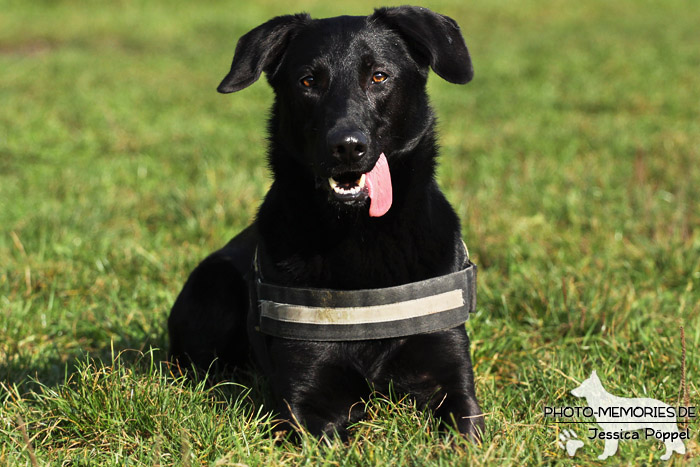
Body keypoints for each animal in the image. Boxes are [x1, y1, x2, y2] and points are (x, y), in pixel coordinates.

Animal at [169, 5, 484, 440]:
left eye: (379, 76)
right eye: (308, 81)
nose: (347, 147)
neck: (358, 234)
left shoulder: (450, 379)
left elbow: (464, 428)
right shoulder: (308, 401)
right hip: (213, 286)